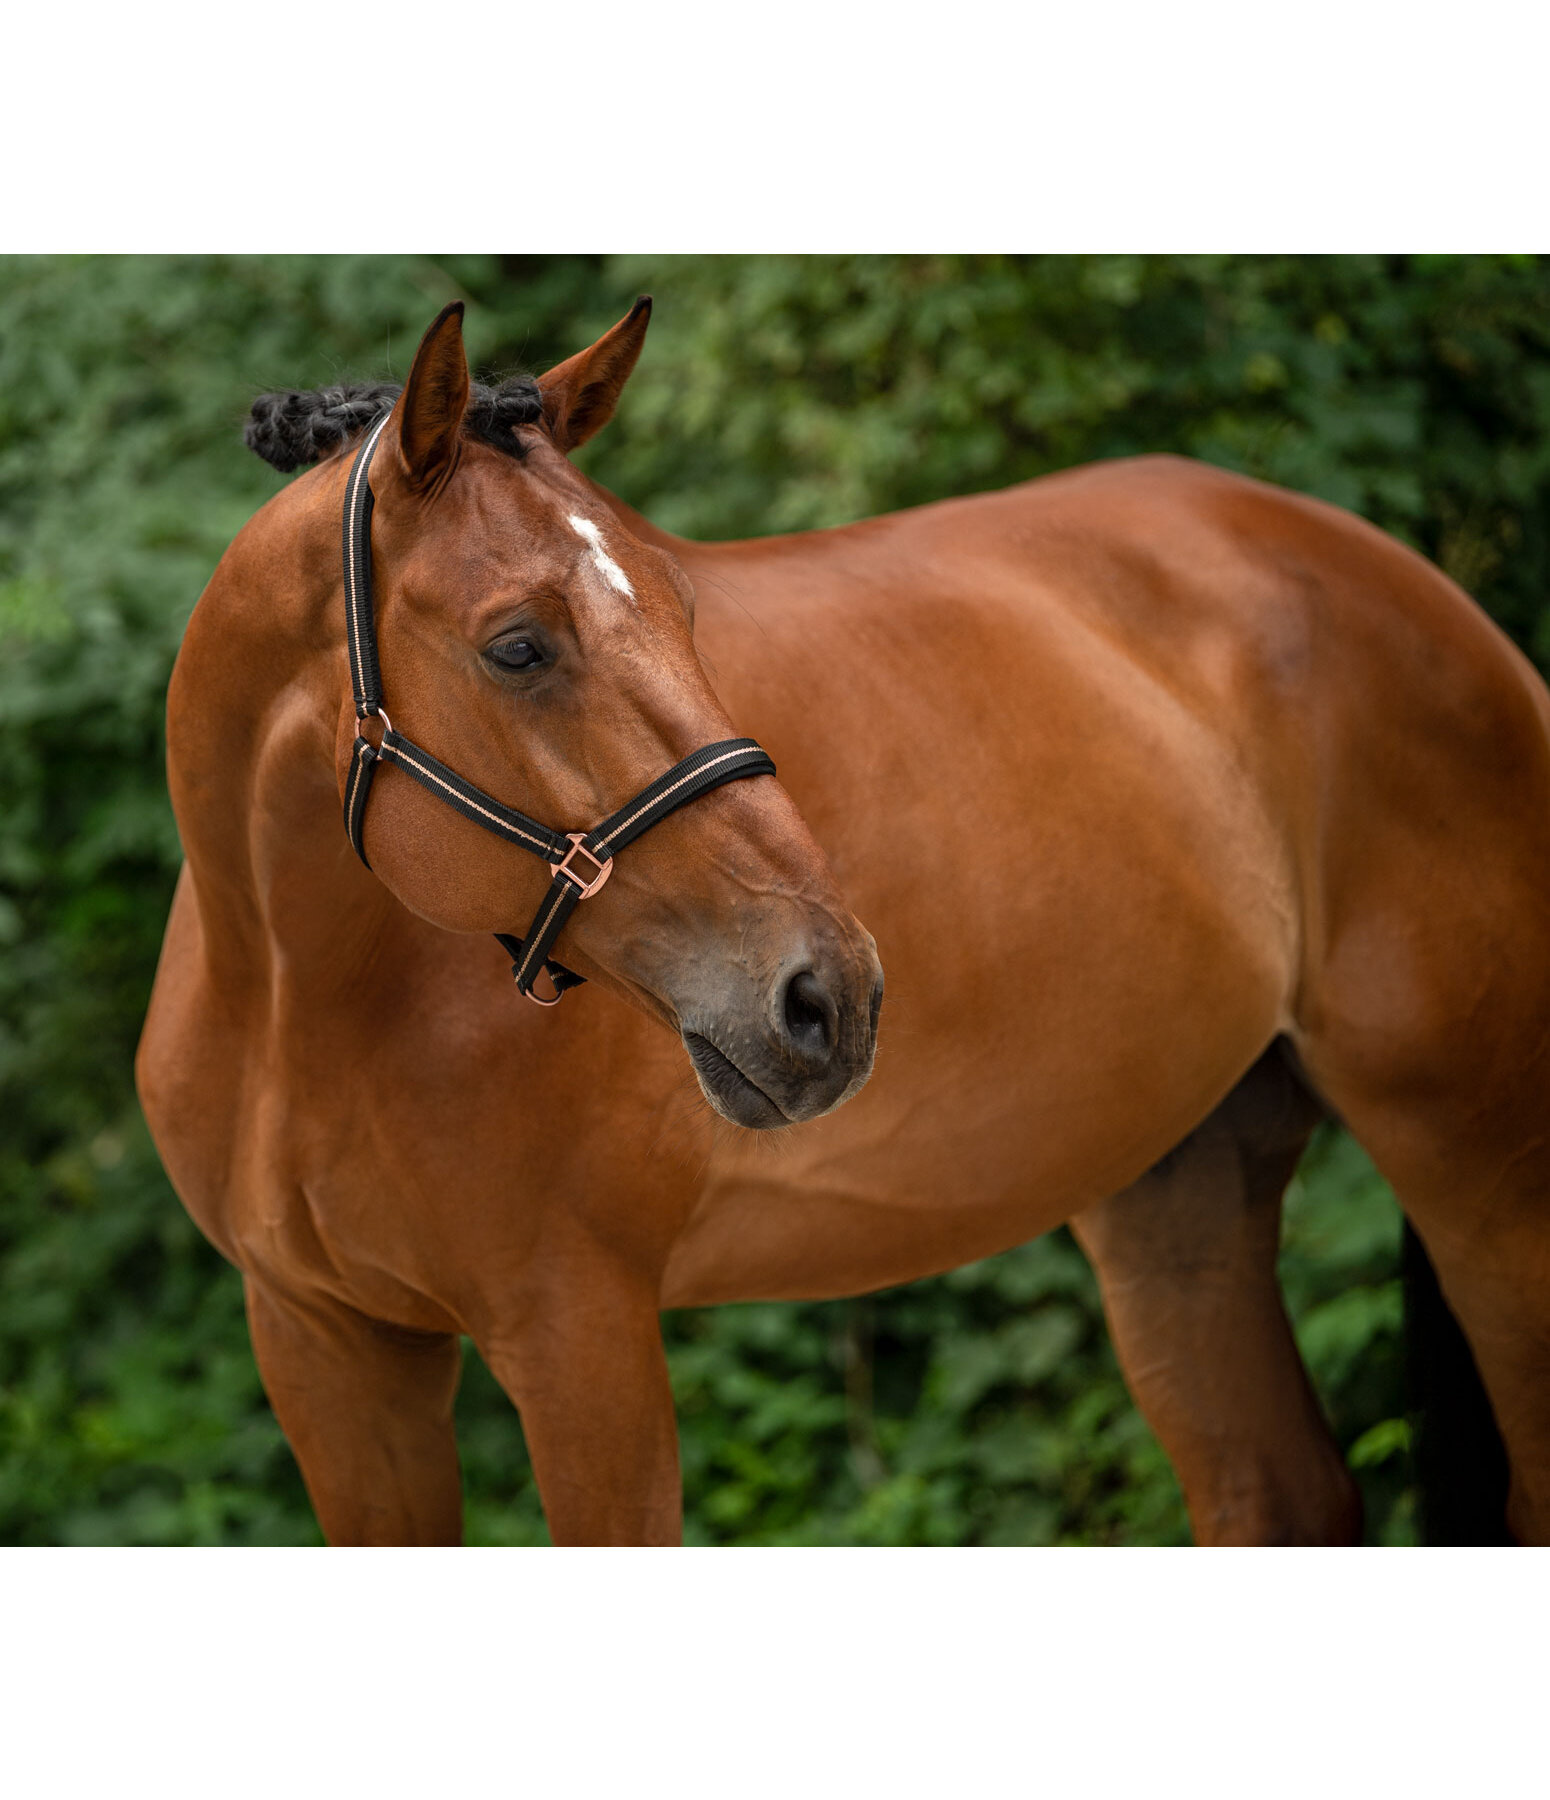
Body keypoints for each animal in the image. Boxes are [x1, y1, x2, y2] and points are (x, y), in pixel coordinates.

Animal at [129, 295, 1548, 1548]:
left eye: (683, 607)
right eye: (517, 646)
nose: (828, 995)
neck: (299, 1001)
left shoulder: (579, 1336)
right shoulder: (328, 1350)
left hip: (1477, 1165)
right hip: (1177, 1185)